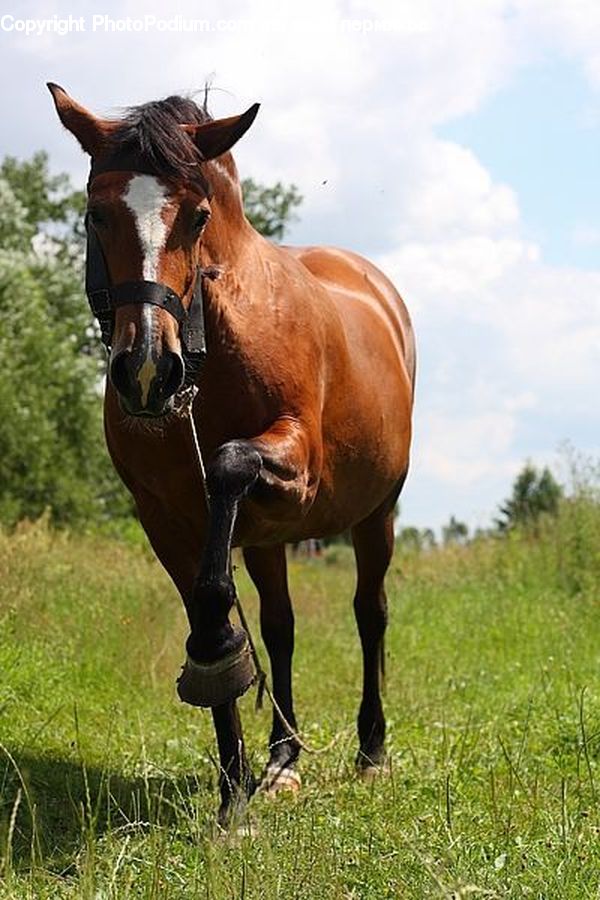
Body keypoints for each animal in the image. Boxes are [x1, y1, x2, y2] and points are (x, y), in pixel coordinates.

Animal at [48, 83, 416, 825]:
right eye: (96, 214)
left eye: (197, 217)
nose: (148, 372)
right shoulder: (164, 518)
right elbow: (206, 604)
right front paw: (234, 787)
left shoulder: (296, 470)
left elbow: (227, 469)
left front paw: (221, 652)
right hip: (270, 538)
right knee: (281, 627)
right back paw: (283, 760)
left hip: (377, 515)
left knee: (371, 613)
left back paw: (371, 750)